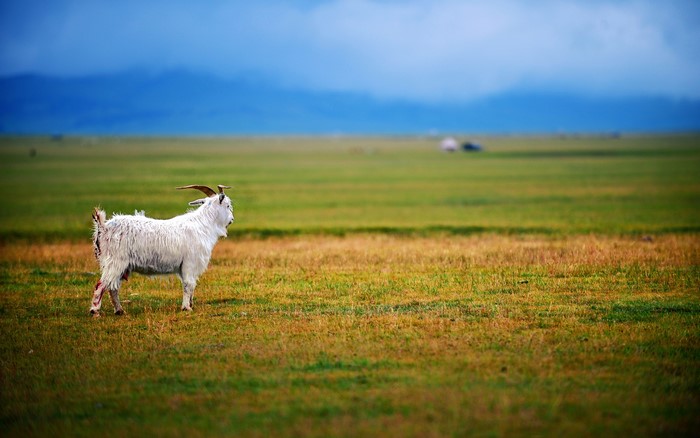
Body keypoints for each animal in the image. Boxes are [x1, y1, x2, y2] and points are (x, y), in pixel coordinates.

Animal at [90, 185, 234, 315]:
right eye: (227, 205)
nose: (232, 219)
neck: (203, 225)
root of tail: (103, 227)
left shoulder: (186, 267)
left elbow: (191, 285)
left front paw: (190, 304)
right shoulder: (190, 263)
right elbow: (188, 284)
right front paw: (186, 308)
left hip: (119, 266)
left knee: (112, 287)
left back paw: (119, 310)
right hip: (115, 262)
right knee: (101, 285)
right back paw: (95, 311)